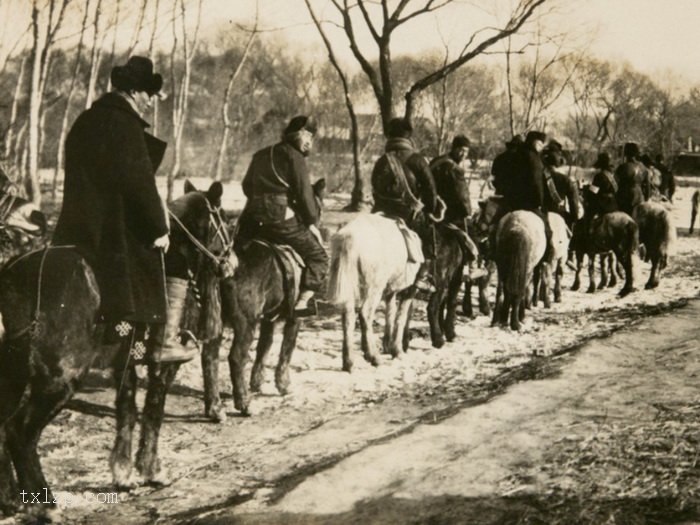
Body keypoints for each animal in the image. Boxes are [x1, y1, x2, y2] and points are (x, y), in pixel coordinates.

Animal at [0, 180, 230, 520]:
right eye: (225, 221)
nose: (231, 263)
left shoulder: (125, 365)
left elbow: (127, 412)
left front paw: (123, 474)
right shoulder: (163, 365)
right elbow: (153, 413)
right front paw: (151, 470)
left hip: (14, 379)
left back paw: (11, 499)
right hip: (58, 381)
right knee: (19, 432)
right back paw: (45, 504)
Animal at [328, 212, 422, 368]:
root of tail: (349, 236)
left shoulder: (391, 290)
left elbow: (390, 313)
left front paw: (389, 346)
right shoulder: (410, 289)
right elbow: (401, 317)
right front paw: (397, 351)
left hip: (350, 283)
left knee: (348, 316)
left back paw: (349, 362)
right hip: (374, 287)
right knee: (365, 313)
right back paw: (373, 356)